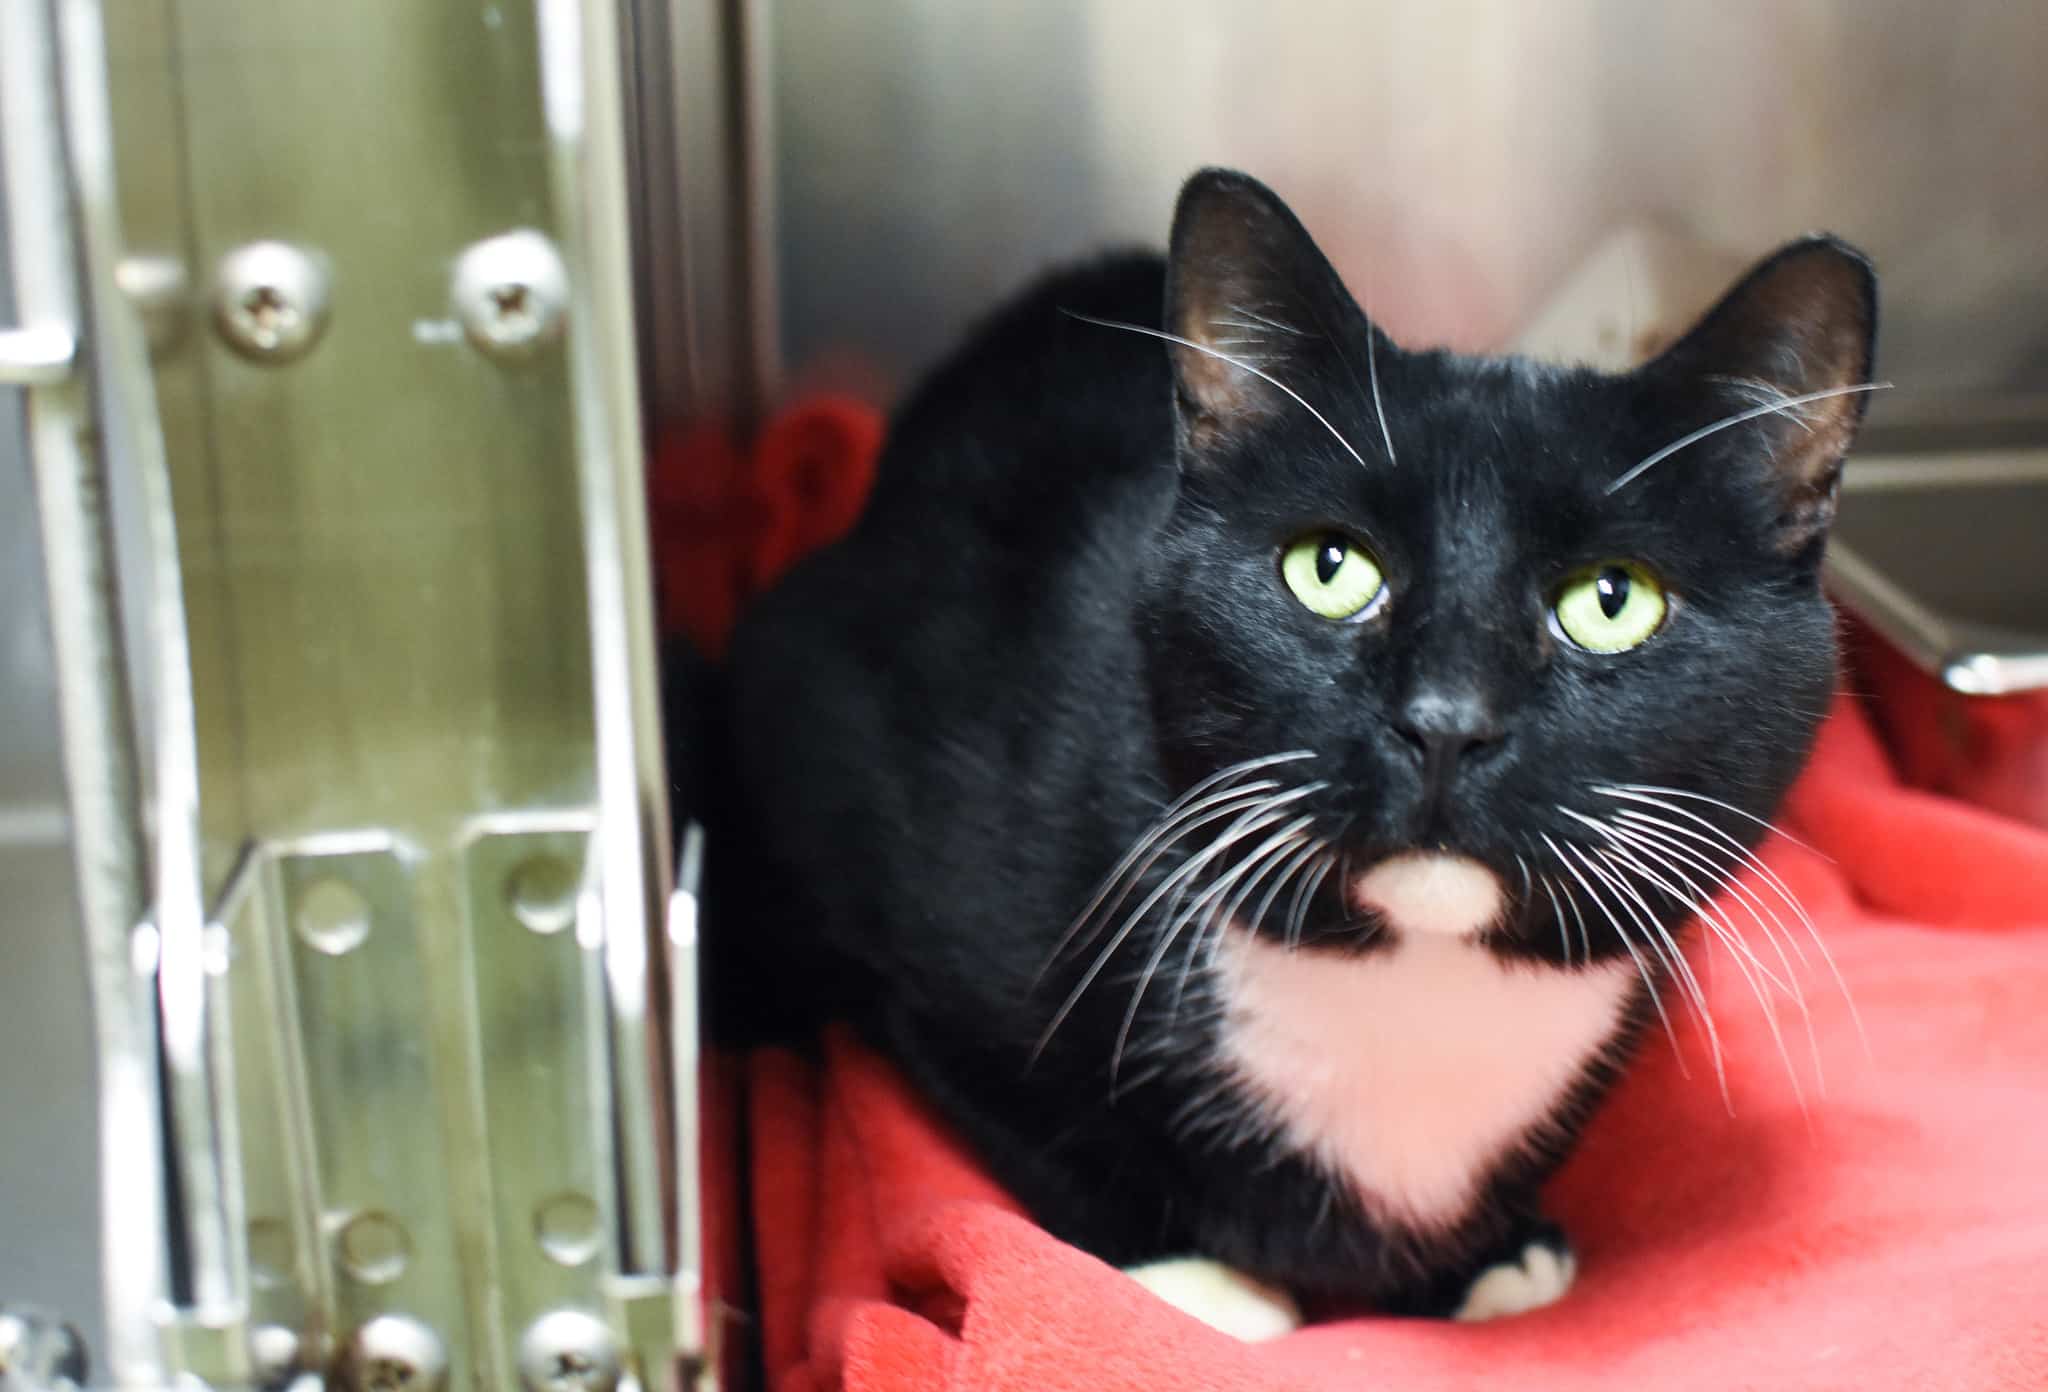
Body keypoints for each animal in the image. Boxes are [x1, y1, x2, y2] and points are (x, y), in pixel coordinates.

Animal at [715, 168, 1877, 1333]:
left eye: (1610, 600)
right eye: (1329, 568)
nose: (1444, 718)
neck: (1415, 977)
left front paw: (1488, 1258)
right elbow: (1023, 1115)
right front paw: (1193, 1276)